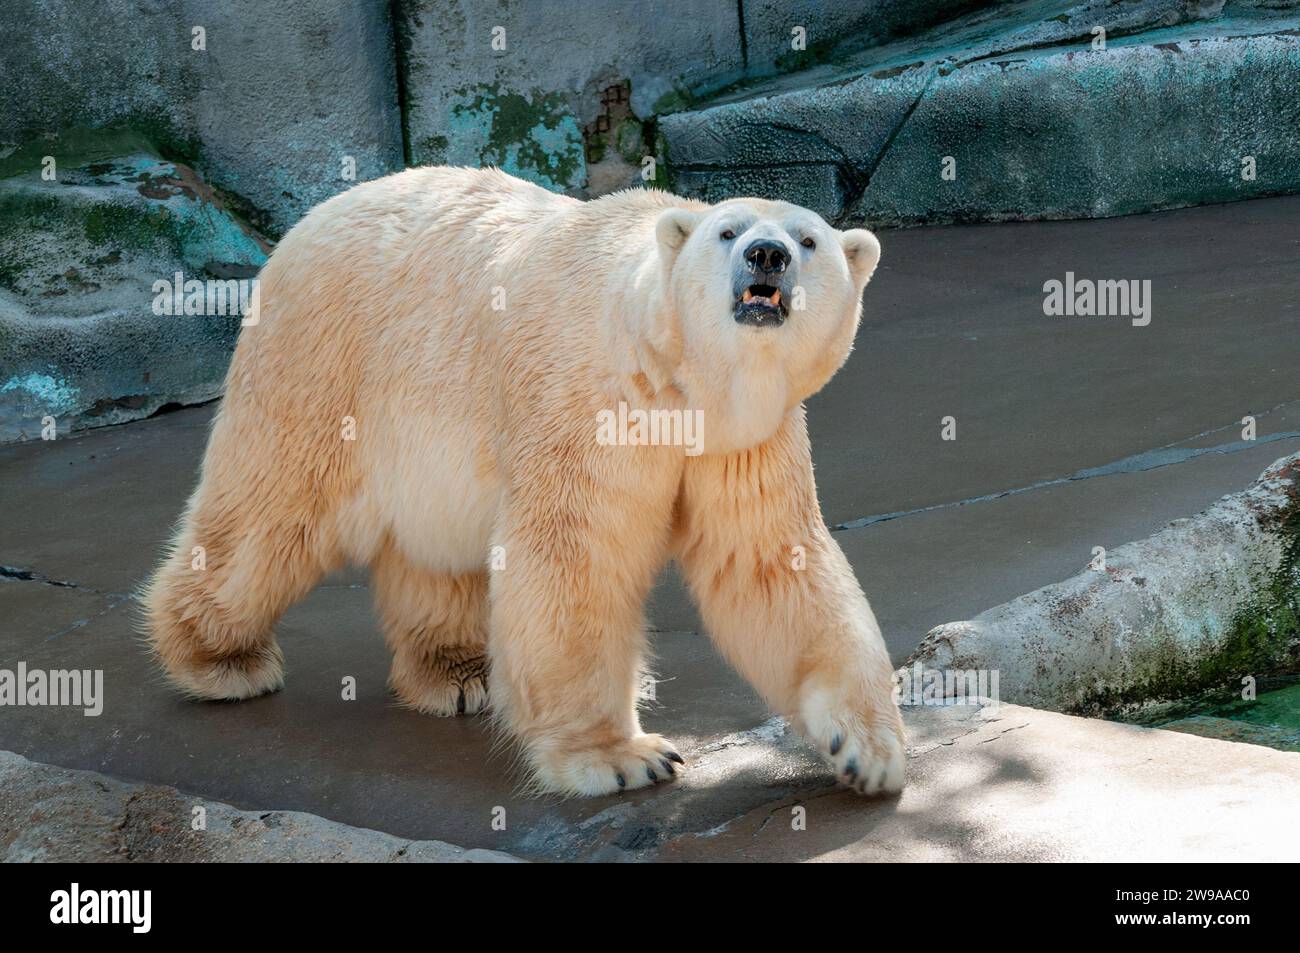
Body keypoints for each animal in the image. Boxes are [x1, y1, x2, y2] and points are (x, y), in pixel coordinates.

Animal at [142, 165, 904, 795]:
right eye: (728, 231)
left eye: (808, 239)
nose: (766, 255)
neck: (673, 373)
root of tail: (308, 221)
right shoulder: (589, 402)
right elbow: (574, 553)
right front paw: (621, 757)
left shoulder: (742, 439)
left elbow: (770, 561)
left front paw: (867, 748)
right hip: (324, 366)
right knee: (269, 513)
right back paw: (219, 659)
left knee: (436, 550)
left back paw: (457, 672)